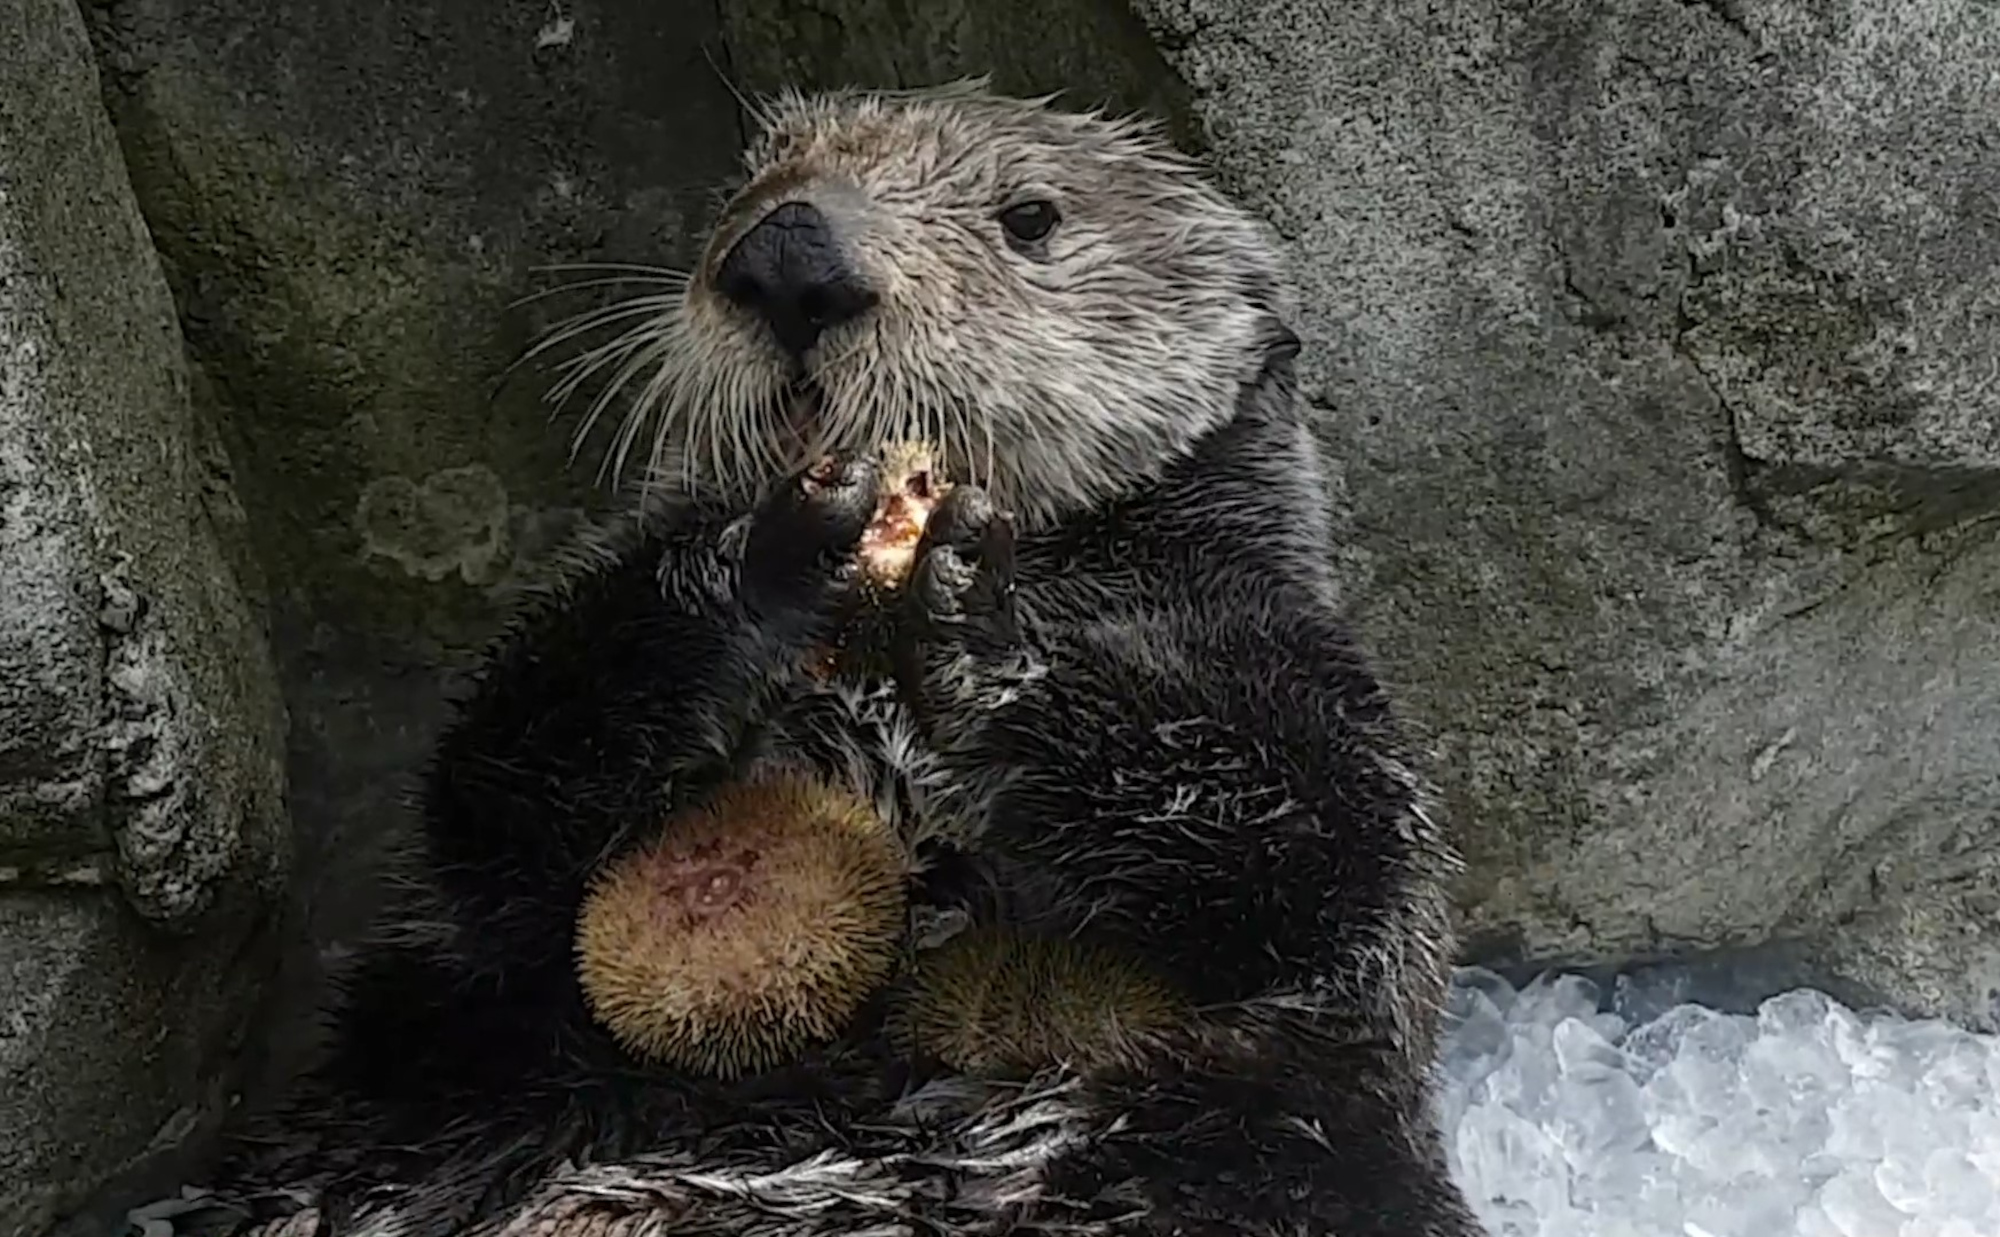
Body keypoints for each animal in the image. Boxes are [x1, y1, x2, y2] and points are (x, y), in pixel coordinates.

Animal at [176, 79, 1488, 1232]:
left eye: (1029, 218)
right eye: (756, 176)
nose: (789, 254)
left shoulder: (1285, 657)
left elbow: (1319, 846)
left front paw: (980, 631)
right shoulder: (487, 919)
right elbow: (489, 797)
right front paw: (764, 550)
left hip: (1266, 1149)